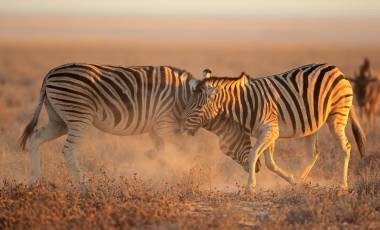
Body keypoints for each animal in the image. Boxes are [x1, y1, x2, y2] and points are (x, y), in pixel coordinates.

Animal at [19, 63, 260, 185]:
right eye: (245, 135)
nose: (257, 168)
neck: (185, 99)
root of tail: (50, 73)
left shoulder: (156, 128)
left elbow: (162, 153)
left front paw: (159, 175)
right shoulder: (165, 125)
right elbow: (181, 151)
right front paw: (182, 173)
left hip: (59, 120)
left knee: (35, 138)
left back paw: (33, 181)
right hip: (78, 116)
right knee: (68, 150)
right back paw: (82, 186)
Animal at [181, 63, 366, 190]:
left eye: (198, 107)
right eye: (188, 103)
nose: (182, 126)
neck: (244, 104)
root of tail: (337, 70)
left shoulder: (270, 130)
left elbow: (253, 155)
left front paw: (250, 186)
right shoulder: (267, 132)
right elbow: (270, 163)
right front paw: (291, 179)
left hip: (337, 116)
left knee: (346, 148)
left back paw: (342, 185)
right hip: (312, 124)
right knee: (313, 154)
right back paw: (300, 181)